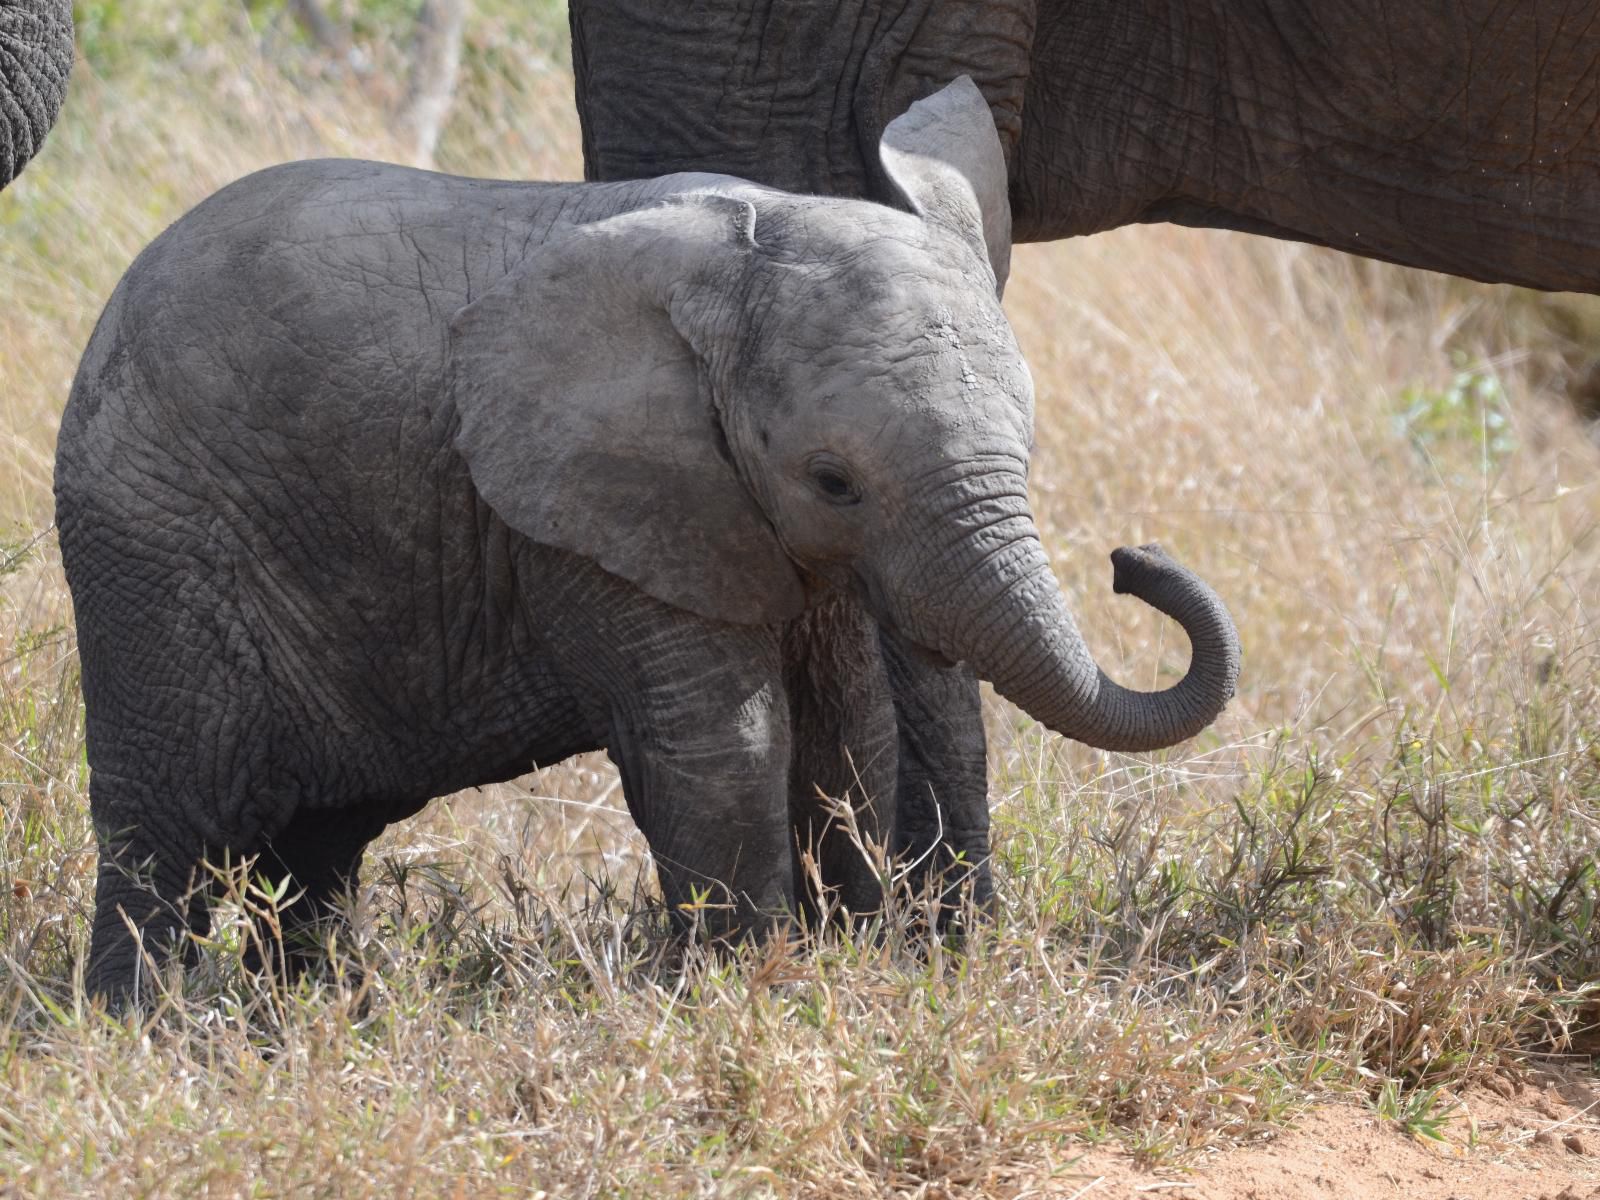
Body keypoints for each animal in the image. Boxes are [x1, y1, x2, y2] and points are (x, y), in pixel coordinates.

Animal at [59, 80, 1235, 1011]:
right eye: (834, 479)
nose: (1132, 564)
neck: (747, 248)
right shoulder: (587, 513)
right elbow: (725, 739)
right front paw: (753, 991)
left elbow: (848, 725)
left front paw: (846, 966)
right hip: (149, 548)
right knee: (168, 823)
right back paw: (141, 1034)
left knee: (318, 841)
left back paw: (312, 1020)